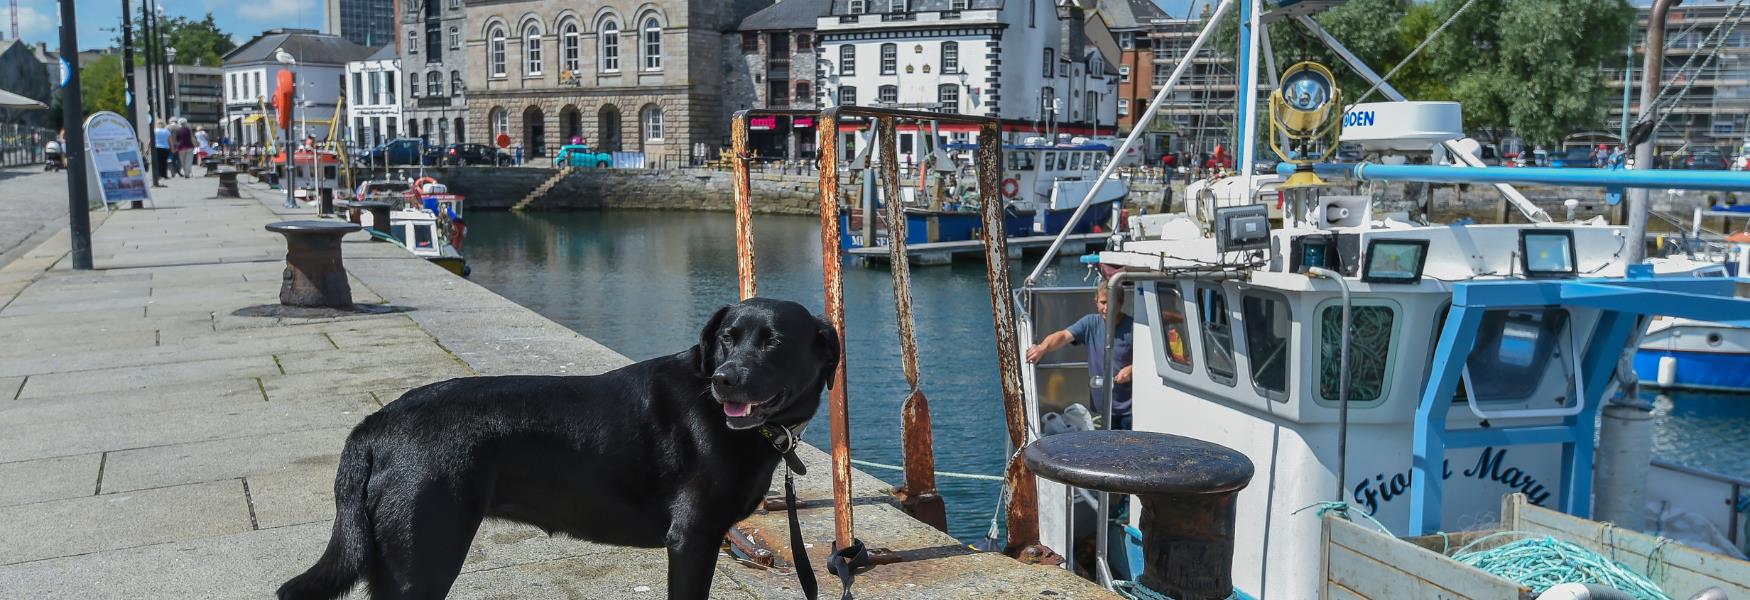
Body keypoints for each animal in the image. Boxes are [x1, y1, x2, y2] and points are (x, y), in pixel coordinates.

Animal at [276, 300, 836, 600]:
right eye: (726, 338)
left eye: (773, 341)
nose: (724, 380)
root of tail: (377, 422)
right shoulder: (693, 540)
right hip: (424, 558)